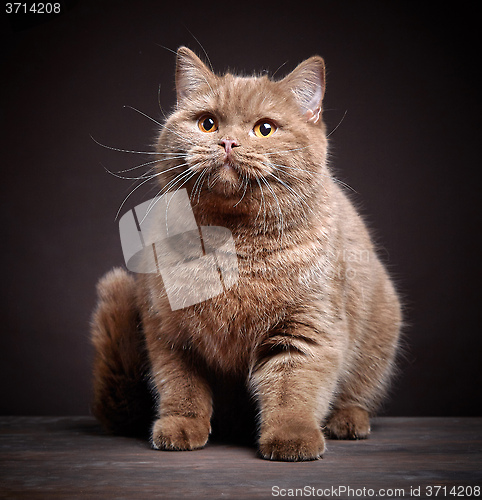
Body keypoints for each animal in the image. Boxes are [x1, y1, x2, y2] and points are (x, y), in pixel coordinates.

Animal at [89, 47, 400, 460]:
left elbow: (293, 389)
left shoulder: (307, 327)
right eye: (207, 124)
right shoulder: (169, 333)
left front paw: (292, 438)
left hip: (381, 330)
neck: (232, 243)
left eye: (264, 129)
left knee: (357, 394)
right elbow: (182, 387)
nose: (227, 143)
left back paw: (347, 421)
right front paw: (180, 427)